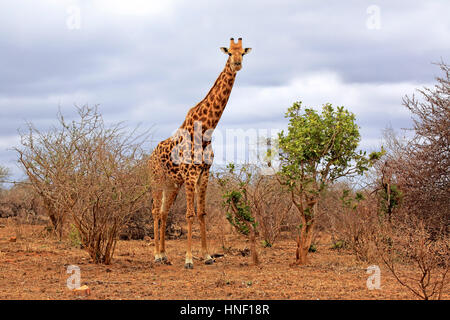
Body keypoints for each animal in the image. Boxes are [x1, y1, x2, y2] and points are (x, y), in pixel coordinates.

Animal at [149, 37, 251, 268]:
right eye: (229, 53)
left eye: (243, 53)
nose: (238, 64)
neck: (206, 129)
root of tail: (149, 157)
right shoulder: (190, 174)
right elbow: (189, 215)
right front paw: (188, 259)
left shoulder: (204, 173)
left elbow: (202, 213)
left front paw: (207, 256)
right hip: (157, 180)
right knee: (155, 212)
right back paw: (156, 255)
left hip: (172, 184)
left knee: (164, 212)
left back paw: (164, 254)